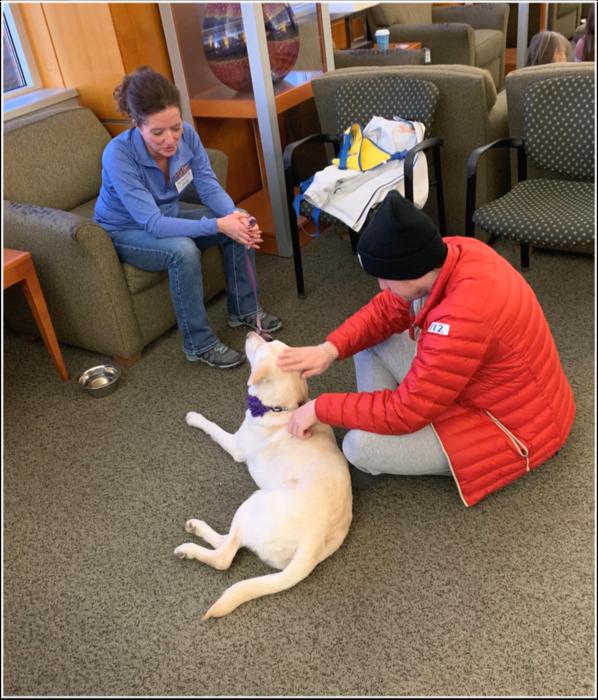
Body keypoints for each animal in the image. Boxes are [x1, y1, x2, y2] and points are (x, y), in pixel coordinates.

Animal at [173, 330, 354, 620]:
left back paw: (190, 546)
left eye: (262, 346)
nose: (250, 332)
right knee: (228, 542)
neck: (283, 409)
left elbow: (213, 427)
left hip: (253, 502)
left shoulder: (236, 445)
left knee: (225, 554)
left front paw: (195, 418)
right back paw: (196, 529)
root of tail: (312, 542)